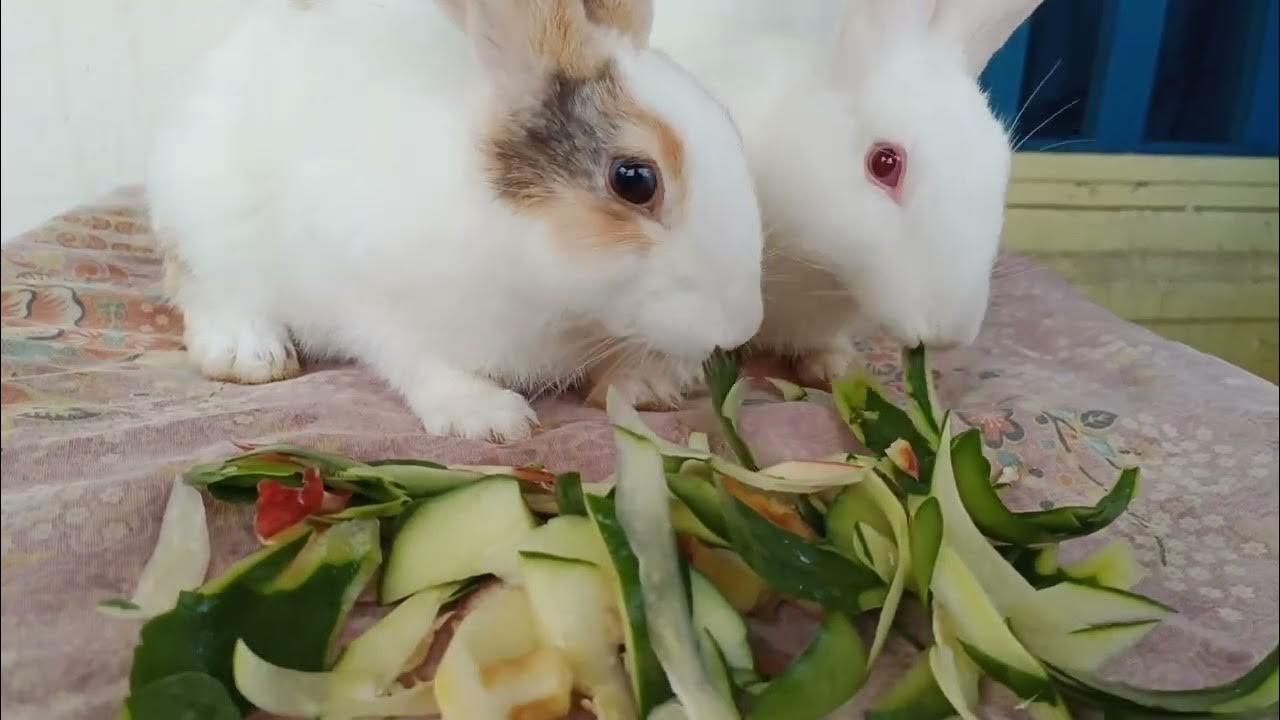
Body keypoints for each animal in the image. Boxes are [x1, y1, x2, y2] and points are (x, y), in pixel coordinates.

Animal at [149, 0, 765, 441]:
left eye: (732, 128)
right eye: (634, 179)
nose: (741, 327)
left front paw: (647, 385)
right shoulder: (377, 300)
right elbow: (422, 362)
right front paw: (488, 417)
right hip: (206, 227)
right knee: (203, 290)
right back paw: (249, 354)